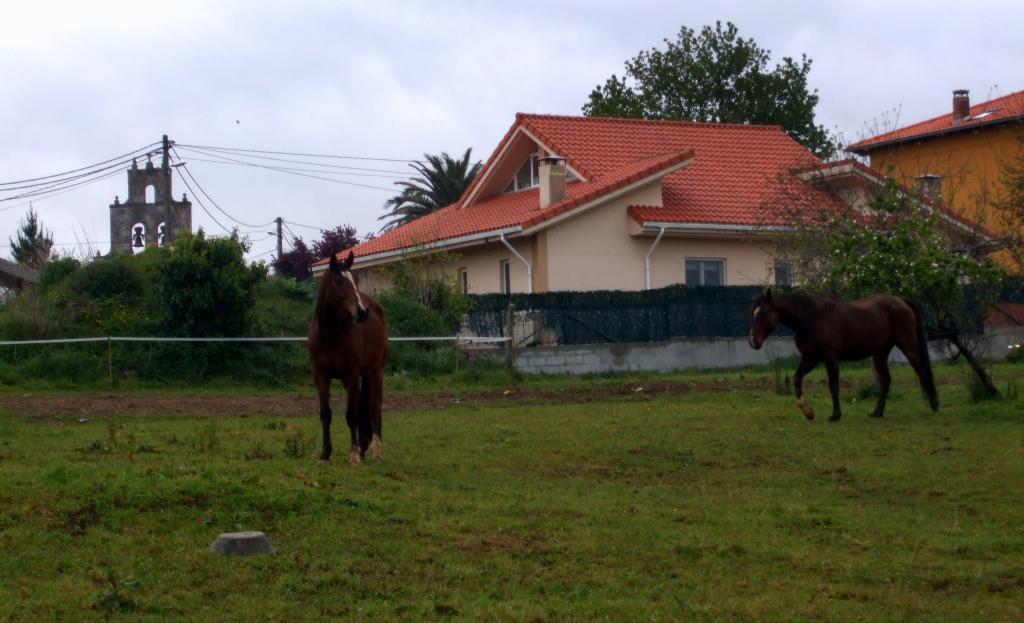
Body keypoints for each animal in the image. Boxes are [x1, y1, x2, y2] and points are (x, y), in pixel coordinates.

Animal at [307, 251, 387, 465]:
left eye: (356, 281)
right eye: (339, 281)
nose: (362, 312)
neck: (331, 335)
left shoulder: (351, 375)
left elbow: (352, 415)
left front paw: (353, 455)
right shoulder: (321, 376)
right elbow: (325, 414)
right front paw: (325, 454)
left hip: (376, 371)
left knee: (374, 408)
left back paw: (376, 452)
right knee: (362, 405)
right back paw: (364, 447)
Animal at [749, 291, 937, 424]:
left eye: (764, 312)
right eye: (754, 312)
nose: (752, 341)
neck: (811, 318)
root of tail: (901, 301)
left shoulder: (830, 358)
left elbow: (833, 385)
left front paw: (835, 415)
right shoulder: (810, 358)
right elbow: (796, 379)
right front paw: (808, 412)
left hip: (907, 345)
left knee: (922, 370)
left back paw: (934, 405)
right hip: (879, 353)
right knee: (885, 380)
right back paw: (877, 412)